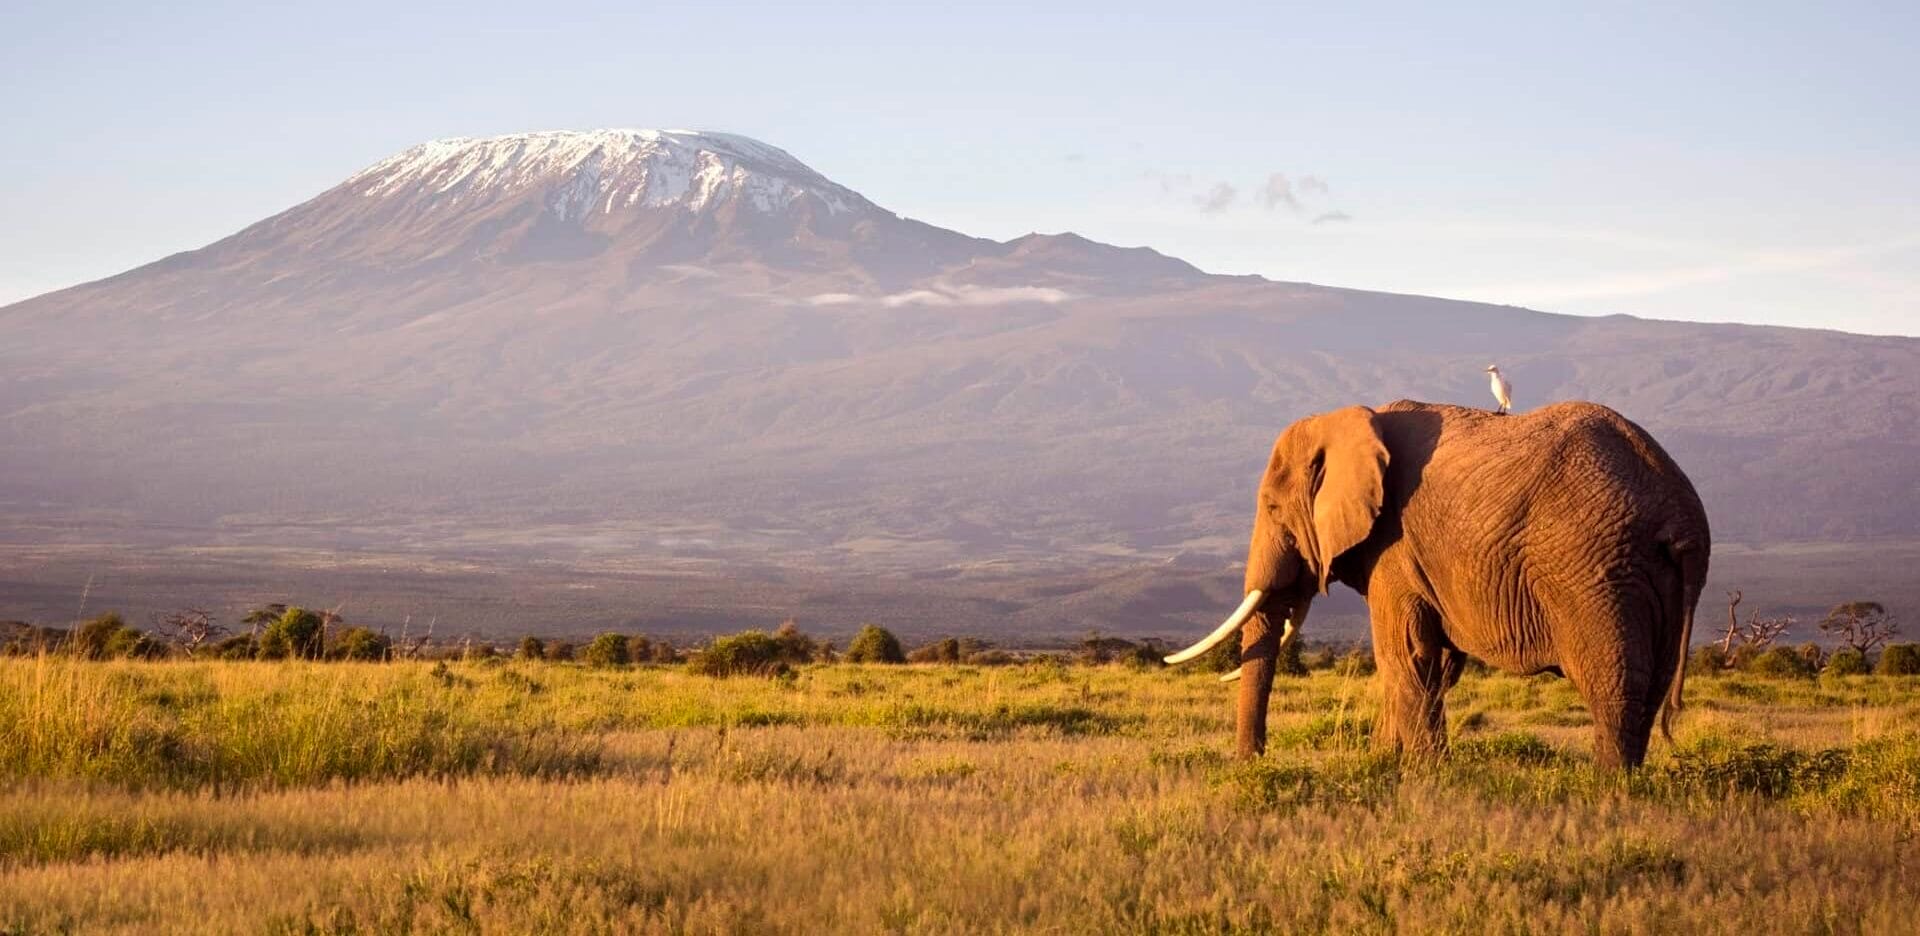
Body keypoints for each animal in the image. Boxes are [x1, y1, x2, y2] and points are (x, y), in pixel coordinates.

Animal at [1159, 398, 1704, 771]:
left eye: (1273, 508)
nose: (1253, 762)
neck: (1353, 418)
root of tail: (1681, 515)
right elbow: (1432, 663)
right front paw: (1385, 763)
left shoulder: (1394, 547)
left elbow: (1404, 654)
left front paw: (1425, 774)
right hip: (1650, 580)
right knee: (1650, 686)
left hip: (1595, 573)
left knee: (1613, 683)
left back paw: (1607, 787)